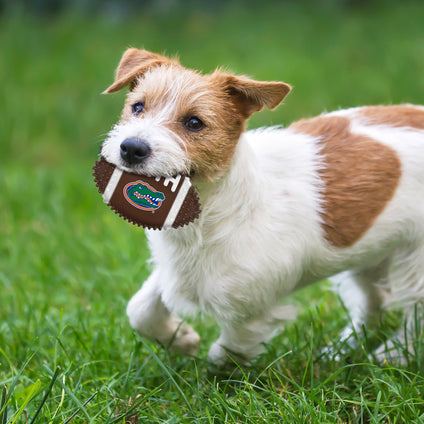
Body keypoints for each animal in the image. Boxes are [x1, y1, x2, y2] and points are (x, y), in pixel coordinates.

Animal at [101, 48, 424, 364]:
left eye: (194, 123)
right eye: (138, 107)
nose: (131, 148)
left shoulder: (251, 310)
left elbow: (227, 353)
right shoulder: (175, 271)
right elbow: (140, 309)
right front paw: (180, 338)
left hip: (414, 263)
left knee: (414, 315)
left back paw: (395, 355)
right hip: (369, 255)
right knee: (374, 303)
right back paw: (341, 351)